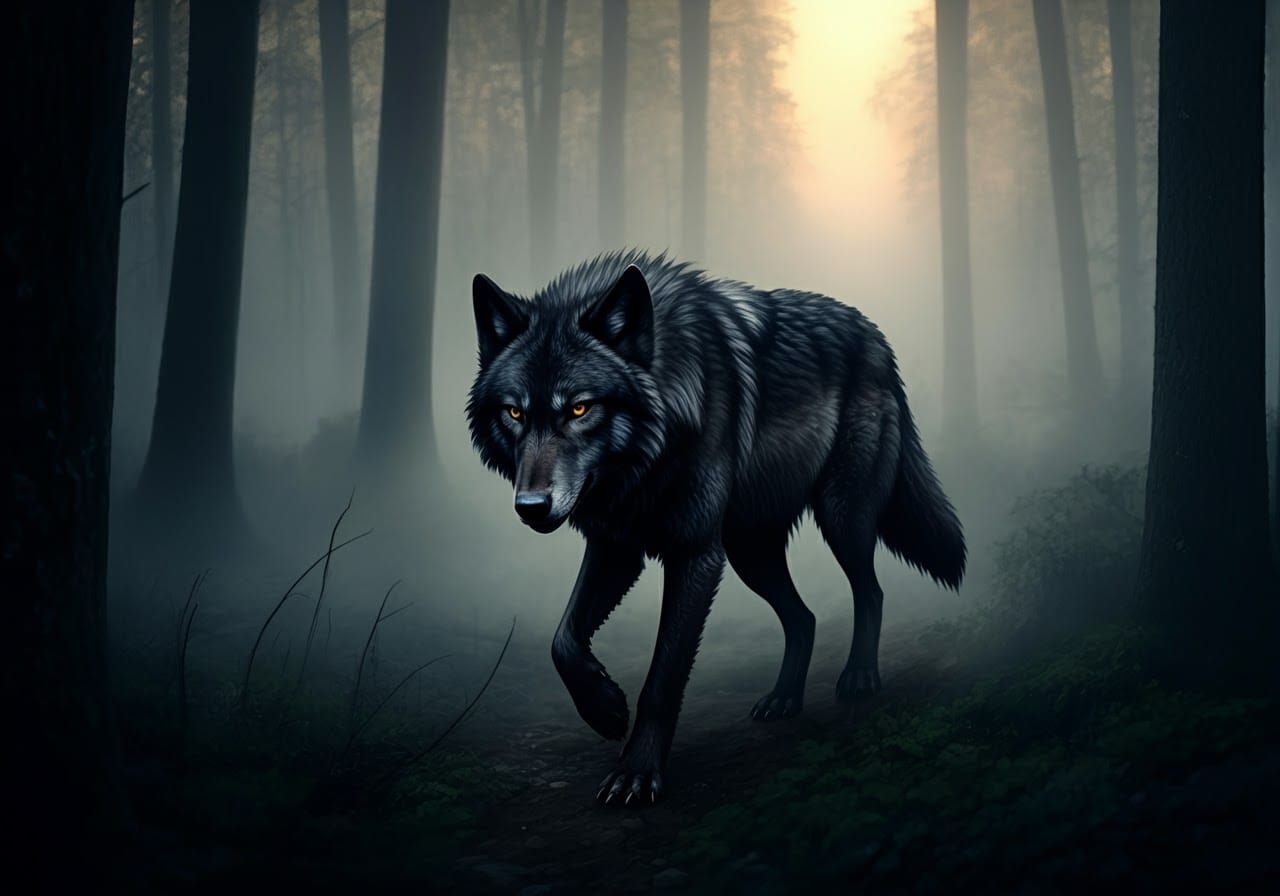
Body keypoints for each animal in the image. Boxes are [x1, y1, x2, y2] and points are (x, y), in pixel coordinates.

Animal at [467, 251, 964, 807]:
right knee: (804, 617)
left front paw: (637, 772)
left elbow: (662, 676)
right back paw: (783, 699)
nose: (531, 507)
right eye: (514, 411)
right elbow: (563, 641)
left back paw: (859, 676)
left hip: (841, 518)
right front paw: (606, 708)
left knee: (870, 591)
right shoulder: (617, 545)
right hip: (751, 552)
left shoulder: (694, 555)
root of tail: (876, 336)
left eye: (579, 407)